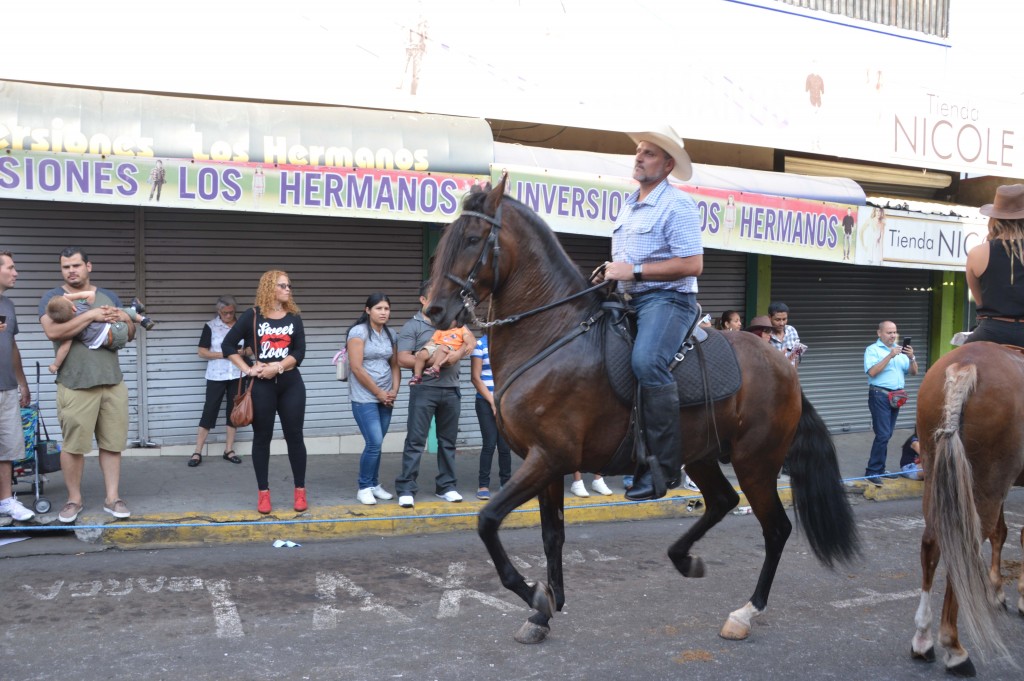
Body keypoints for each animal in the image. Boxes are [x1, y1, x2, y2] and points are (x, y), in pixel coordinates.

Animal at [428, 178, 860, 647]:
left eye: (472, 239)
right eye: (446, 239)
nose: (434, 310)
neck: (551, 333)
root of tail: (784, 365)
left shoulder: (548, 458)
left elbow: (488, 520)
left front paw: (535, 596)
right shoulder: (547, 463)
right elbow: (552, 534)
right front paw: (544, 610)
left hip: (756, 463)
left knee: (776, 528)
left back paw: (746, 611)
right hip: (702, 454)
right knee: (722, 501)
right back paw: (684, 557)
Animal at [909, 342, 1019, 671]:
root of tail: (965, 366)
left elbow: (1001, 532)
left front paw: (997, 590)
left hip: (940, 476)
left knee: (933, 543)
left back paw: (923, 639)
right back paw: (954, 648)